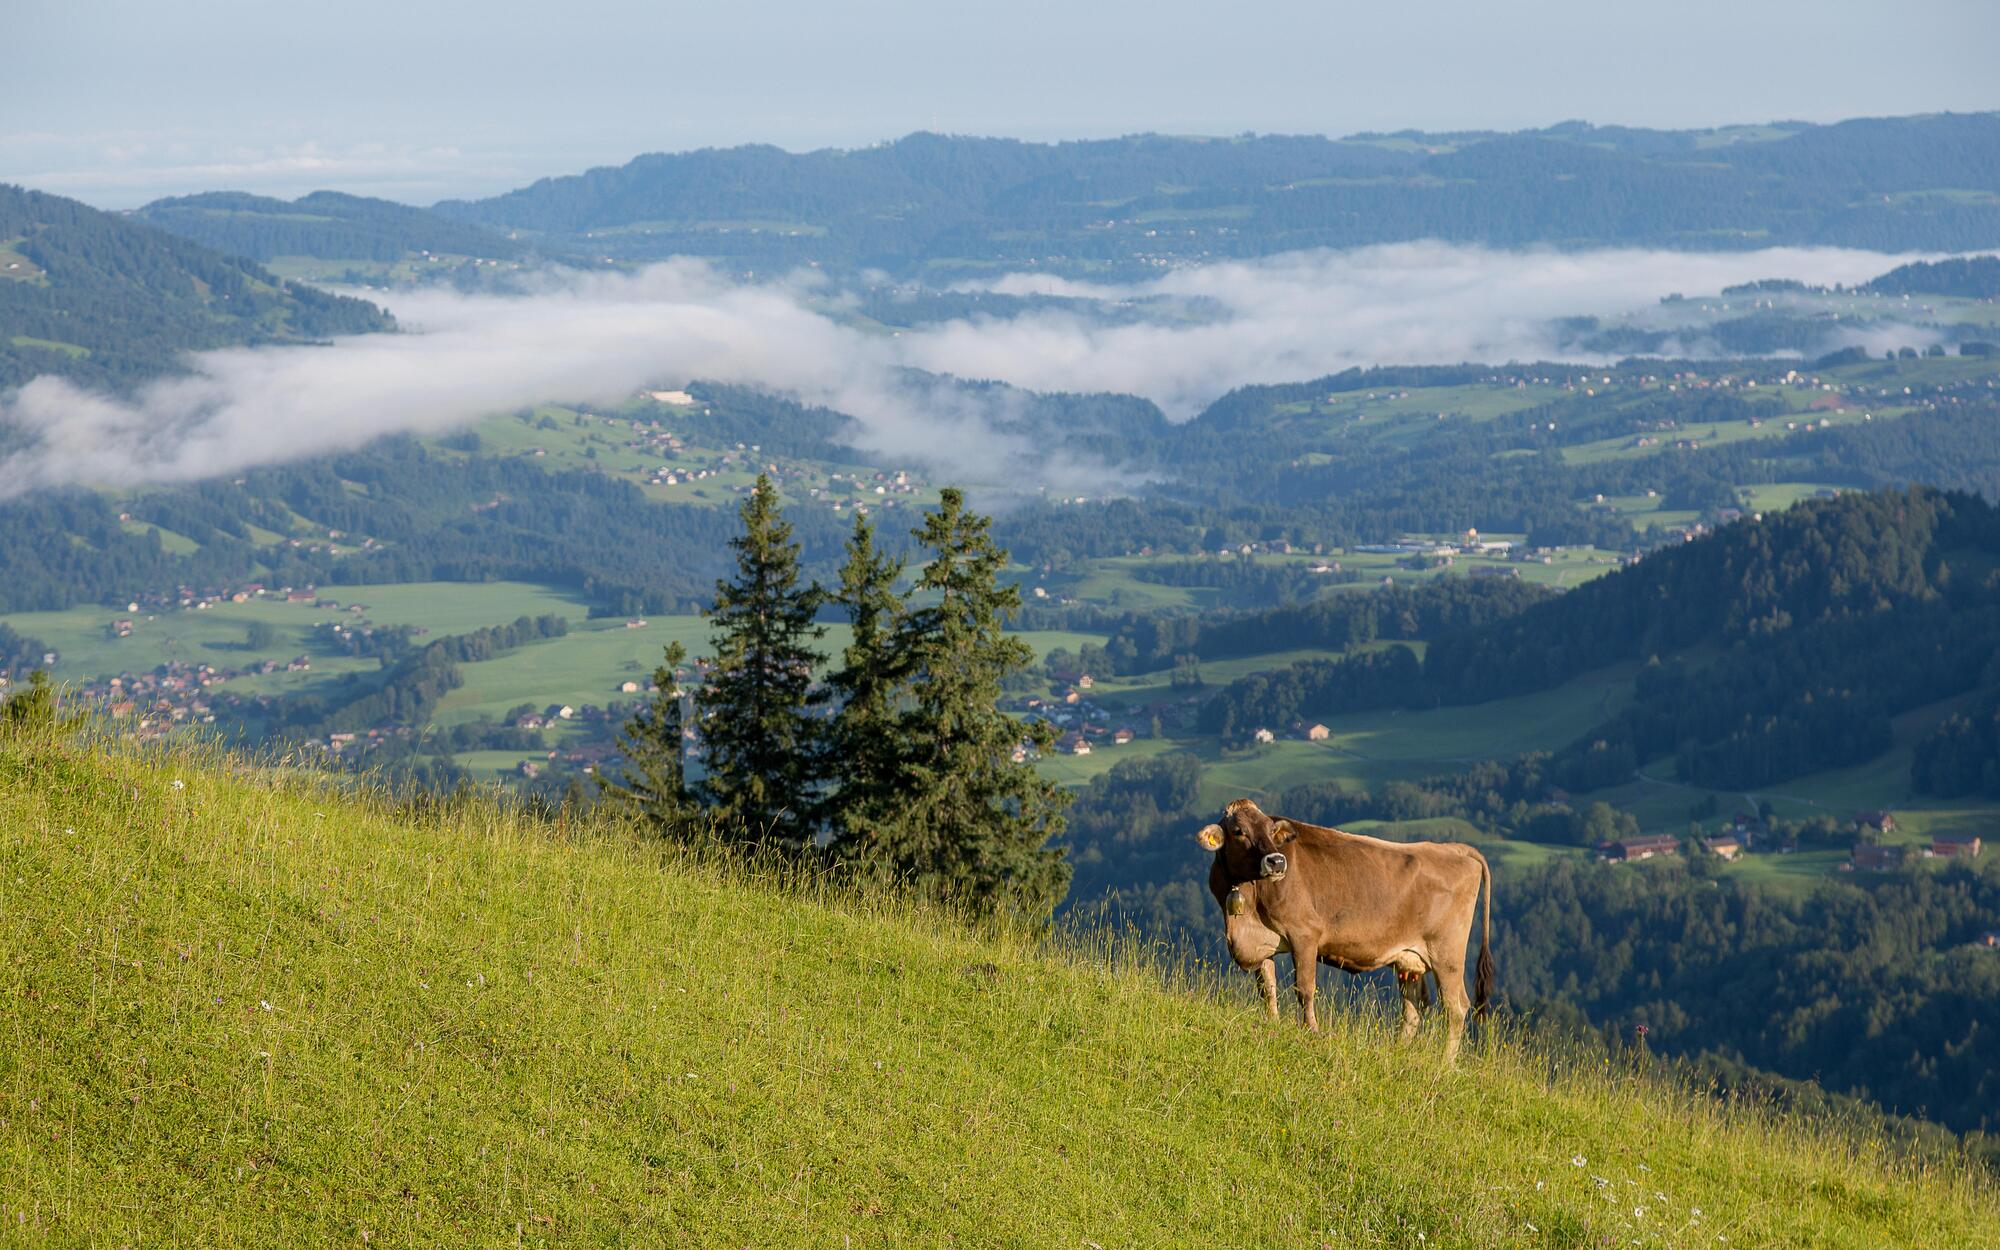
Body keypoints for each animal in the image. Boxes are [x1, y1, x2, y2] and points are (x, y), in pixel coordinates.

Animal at [1192, 796, 1496, 1056]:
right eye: (1238, 831)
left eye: (1269, 828)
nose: (1276, 861)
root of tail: (1454, 848)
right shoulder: (1263, 942)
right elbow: (1268, 987)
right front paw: (1272, 1024)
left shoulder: (1305, 934)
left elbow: (1305, 988)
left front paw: (1312, 1031)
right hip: (1409, 959)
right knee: (1413, 1008)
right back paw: (1397, 1052)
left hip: (1447, 954)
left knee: (1456, 1007)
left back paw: (1445, 1063)